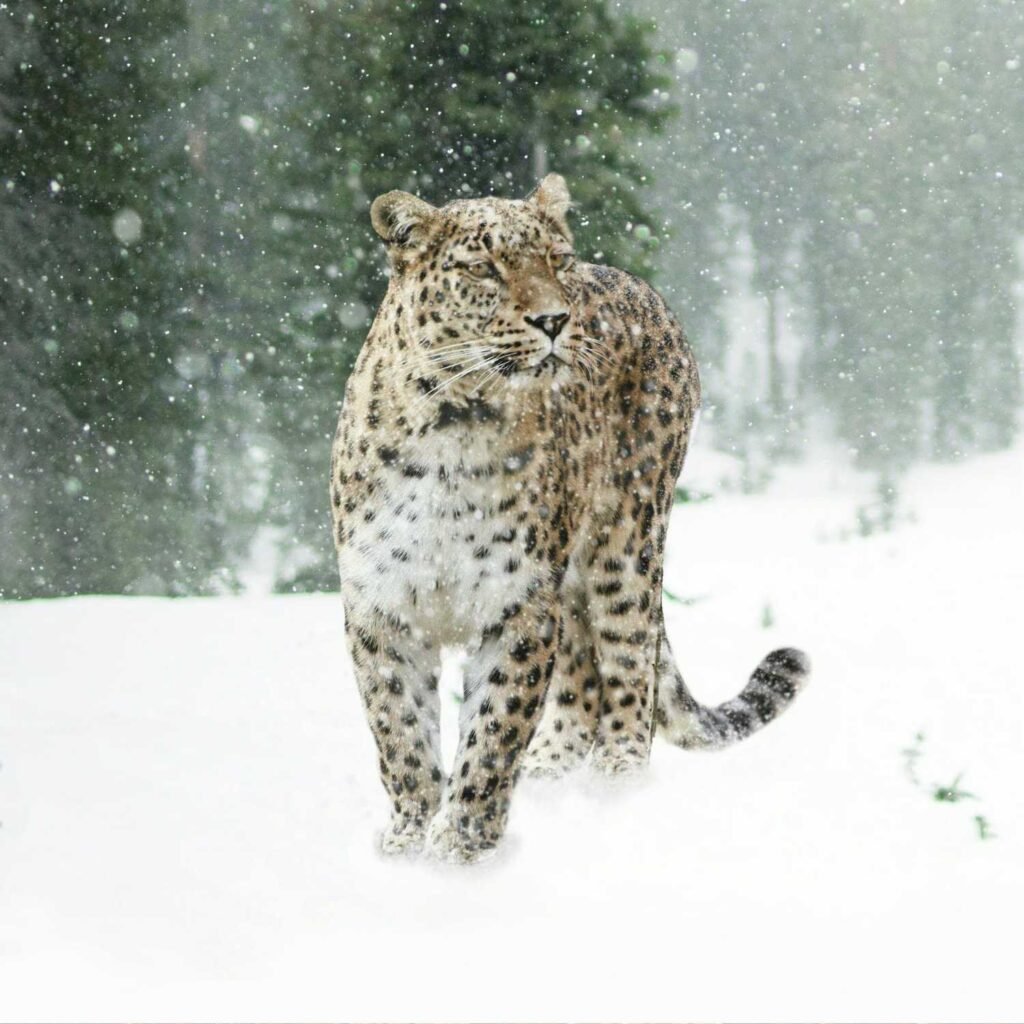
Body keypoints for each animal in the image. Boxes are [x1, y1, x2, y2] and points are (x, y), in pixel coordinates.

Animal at [330, 174, 810, 864]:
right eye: (484, 268)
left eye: (556, 261)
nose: (555, 320)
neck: (454, 425)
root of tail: (642, 287)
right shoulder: (382, 607)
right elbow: (401, 734)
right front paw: (408, 842)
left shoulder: (519, 605)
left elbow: (494, 731)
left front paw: (461, 848)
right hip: (576, 580)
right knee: (583, 675)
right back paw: (552, 775)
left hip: (626, 542)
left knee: (629, 666)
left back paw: (614, 785)